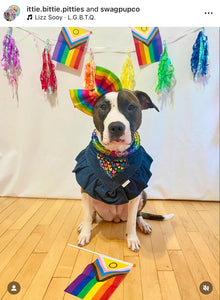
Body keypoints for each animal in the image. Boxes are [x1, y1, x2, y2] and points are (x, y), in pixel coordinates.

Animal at [74, 90, 174, 252]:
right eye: (103, 107)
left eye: (131, 107)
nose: (116, 127)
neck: (114, 157)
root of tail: (115, 218)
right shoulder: (85, 187)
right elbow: (87, 215)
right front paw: (85, 233)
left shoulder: (135, 192)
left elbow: (132, 221)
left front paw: (132, 238)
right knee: (92, 214)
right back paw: (84, 225)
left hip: (143, 195)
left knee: (138, 215)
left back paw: (143, 224)